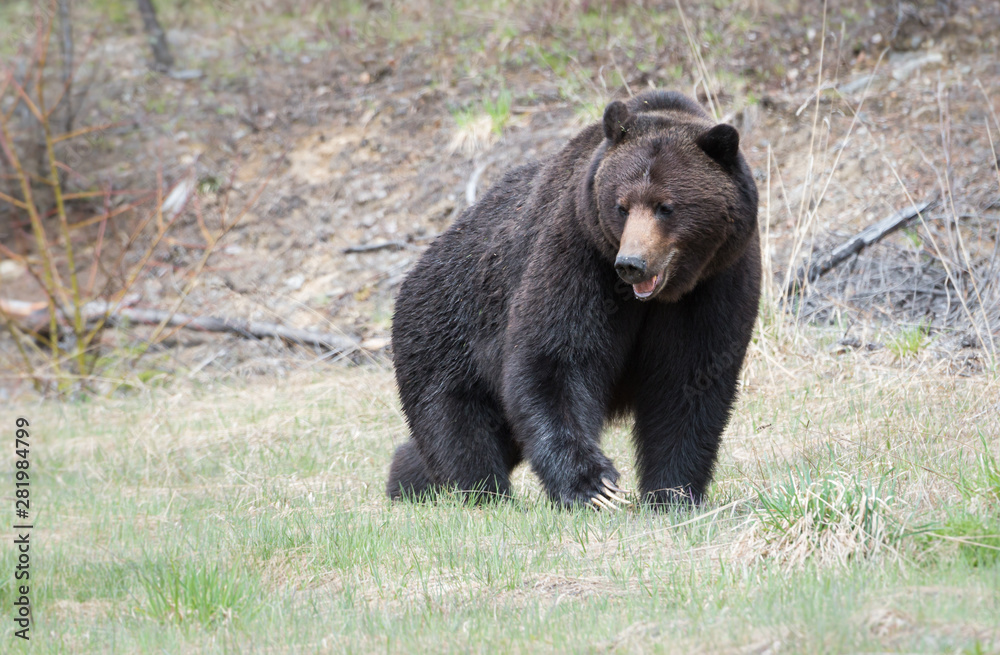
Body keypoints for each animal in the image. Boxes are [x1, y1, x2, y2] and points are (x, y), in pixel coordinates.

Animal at [387, 90, 761, 509]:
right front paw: (595, 486)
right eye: (621, 205)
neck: (657, 298)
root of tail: (413, 273)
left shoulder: (715, 284)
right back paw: (479, 493)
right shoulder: (579, 254)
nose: (632, 264)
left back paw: (408, 478)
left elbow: (688, 379)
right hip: (446, 334)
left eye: (666, 206)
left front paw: (673, 492)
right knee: (456, 424)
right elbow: (555, 359)